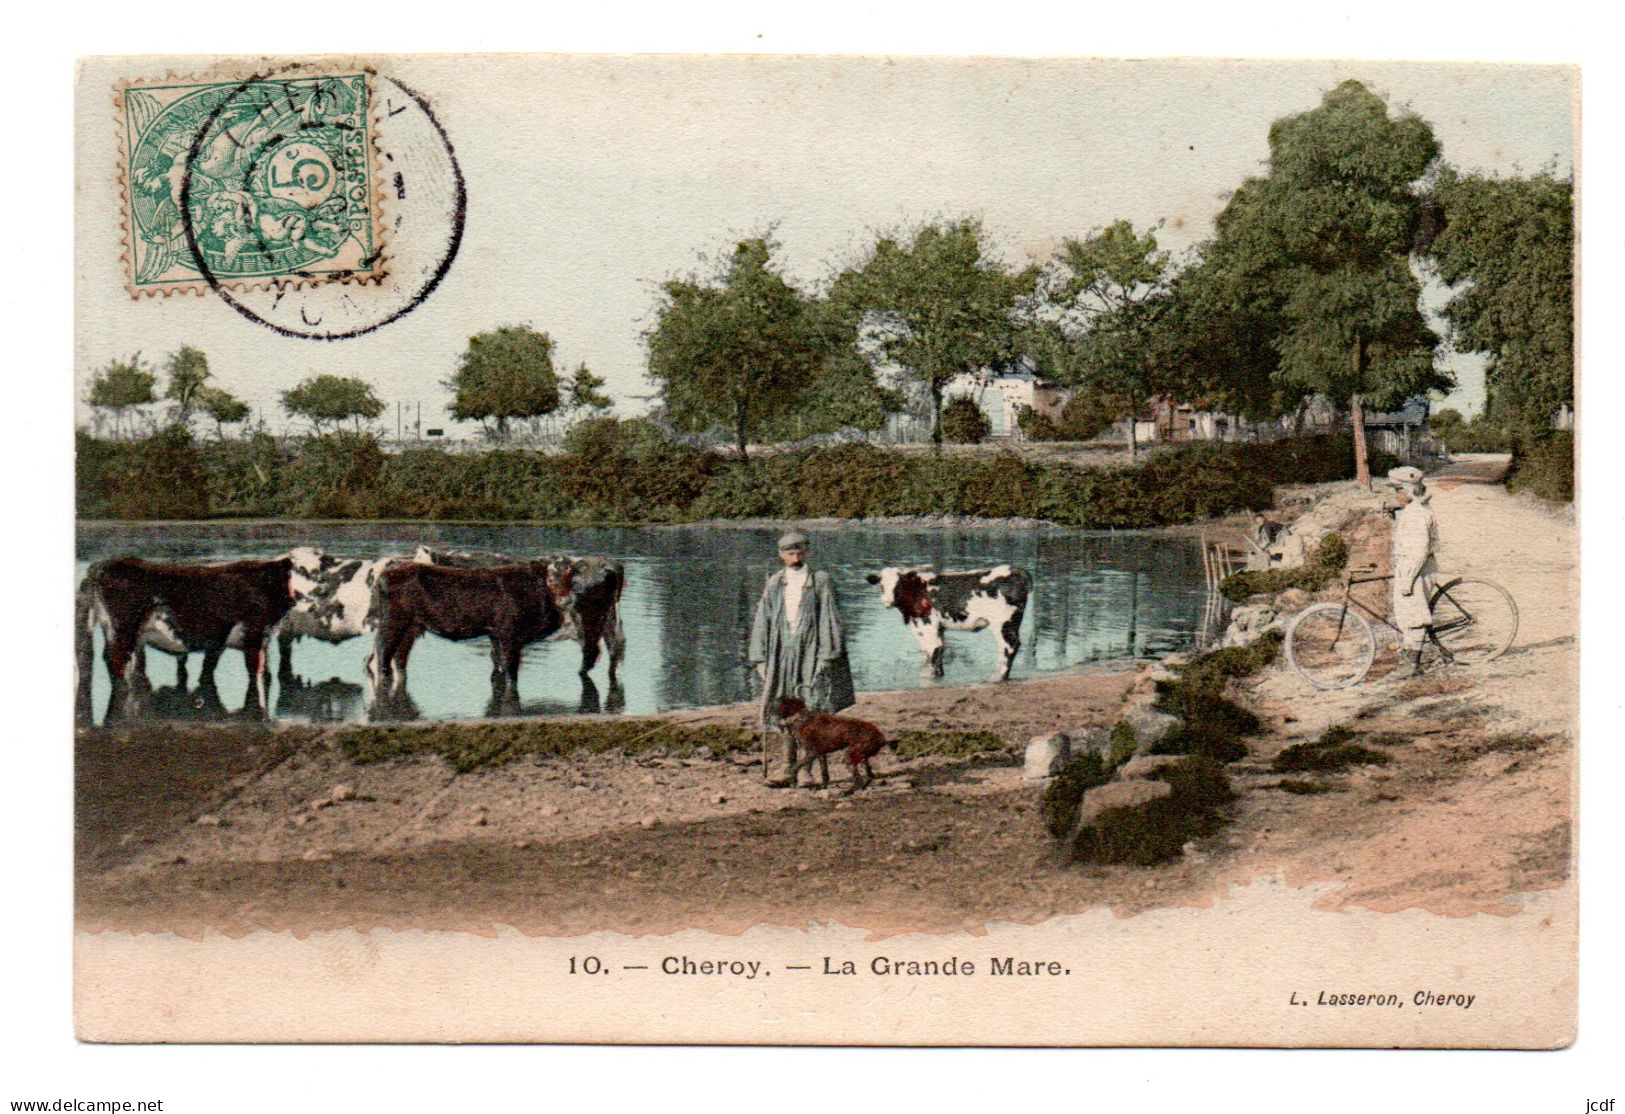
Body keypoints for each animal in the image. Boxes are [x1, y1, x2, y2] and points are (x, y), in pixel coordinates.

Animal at [864, 568, 1027, 682]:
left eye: (898, 585)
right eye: (882, 585)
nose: (888, 601)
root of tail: (1017, 571)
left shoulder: (927, 624)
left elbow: (934, 651)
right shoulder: (934, 628)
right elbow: (935, 652)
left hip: (1002, 623)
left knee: (1009, 646)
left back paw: (999, 676)